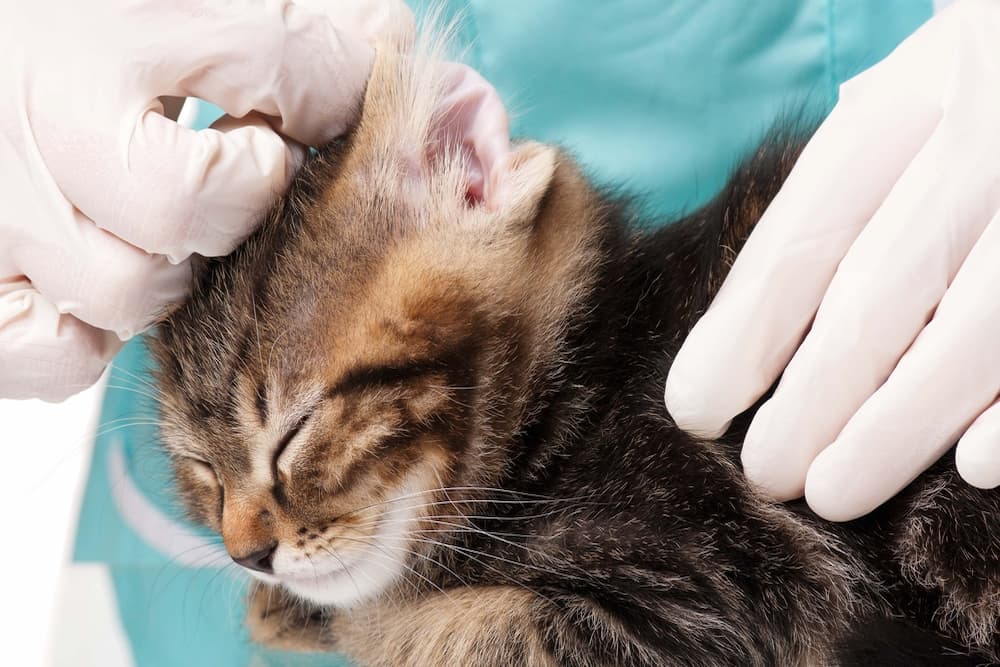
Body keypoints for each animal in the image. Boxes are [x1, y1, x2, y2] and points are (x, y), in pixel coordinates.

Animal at [152, 44, 1000, 664]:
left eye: (296, 430)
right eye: (201, 470)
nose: (249, 554)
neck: (586, 387)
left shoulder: (713, 598)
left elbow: (428, 630)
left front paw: (336, 615)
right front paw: (292, 605)